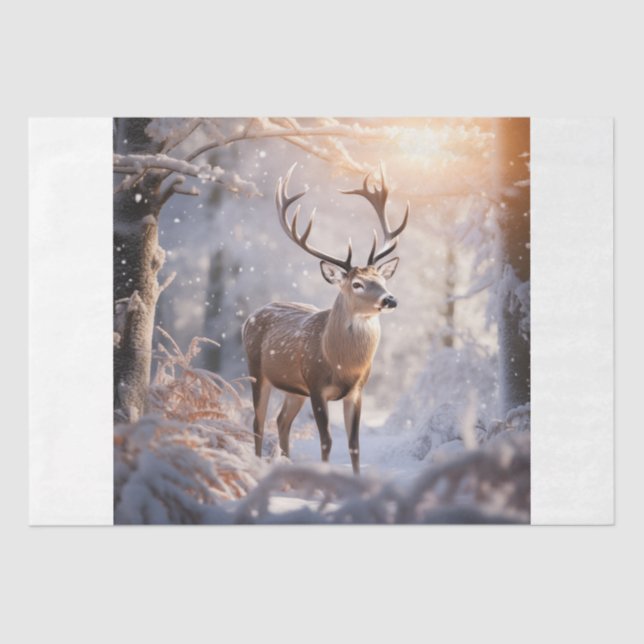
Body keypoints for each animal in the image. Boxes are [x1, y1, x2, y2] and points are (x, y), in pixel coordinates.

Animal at [242, 163, 409, 474]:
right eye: (357, 284)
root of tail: (250, 317)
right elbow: (326, 441)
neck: (342, 364)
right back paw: (258, 466)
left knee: (281, 421)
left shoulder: (357, 390)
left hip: (295, 389)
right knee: (258, 422)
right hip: (257, 370)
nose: (389, 299)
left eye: (381, 278)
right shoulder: (317, 385)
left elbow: (354, 444)